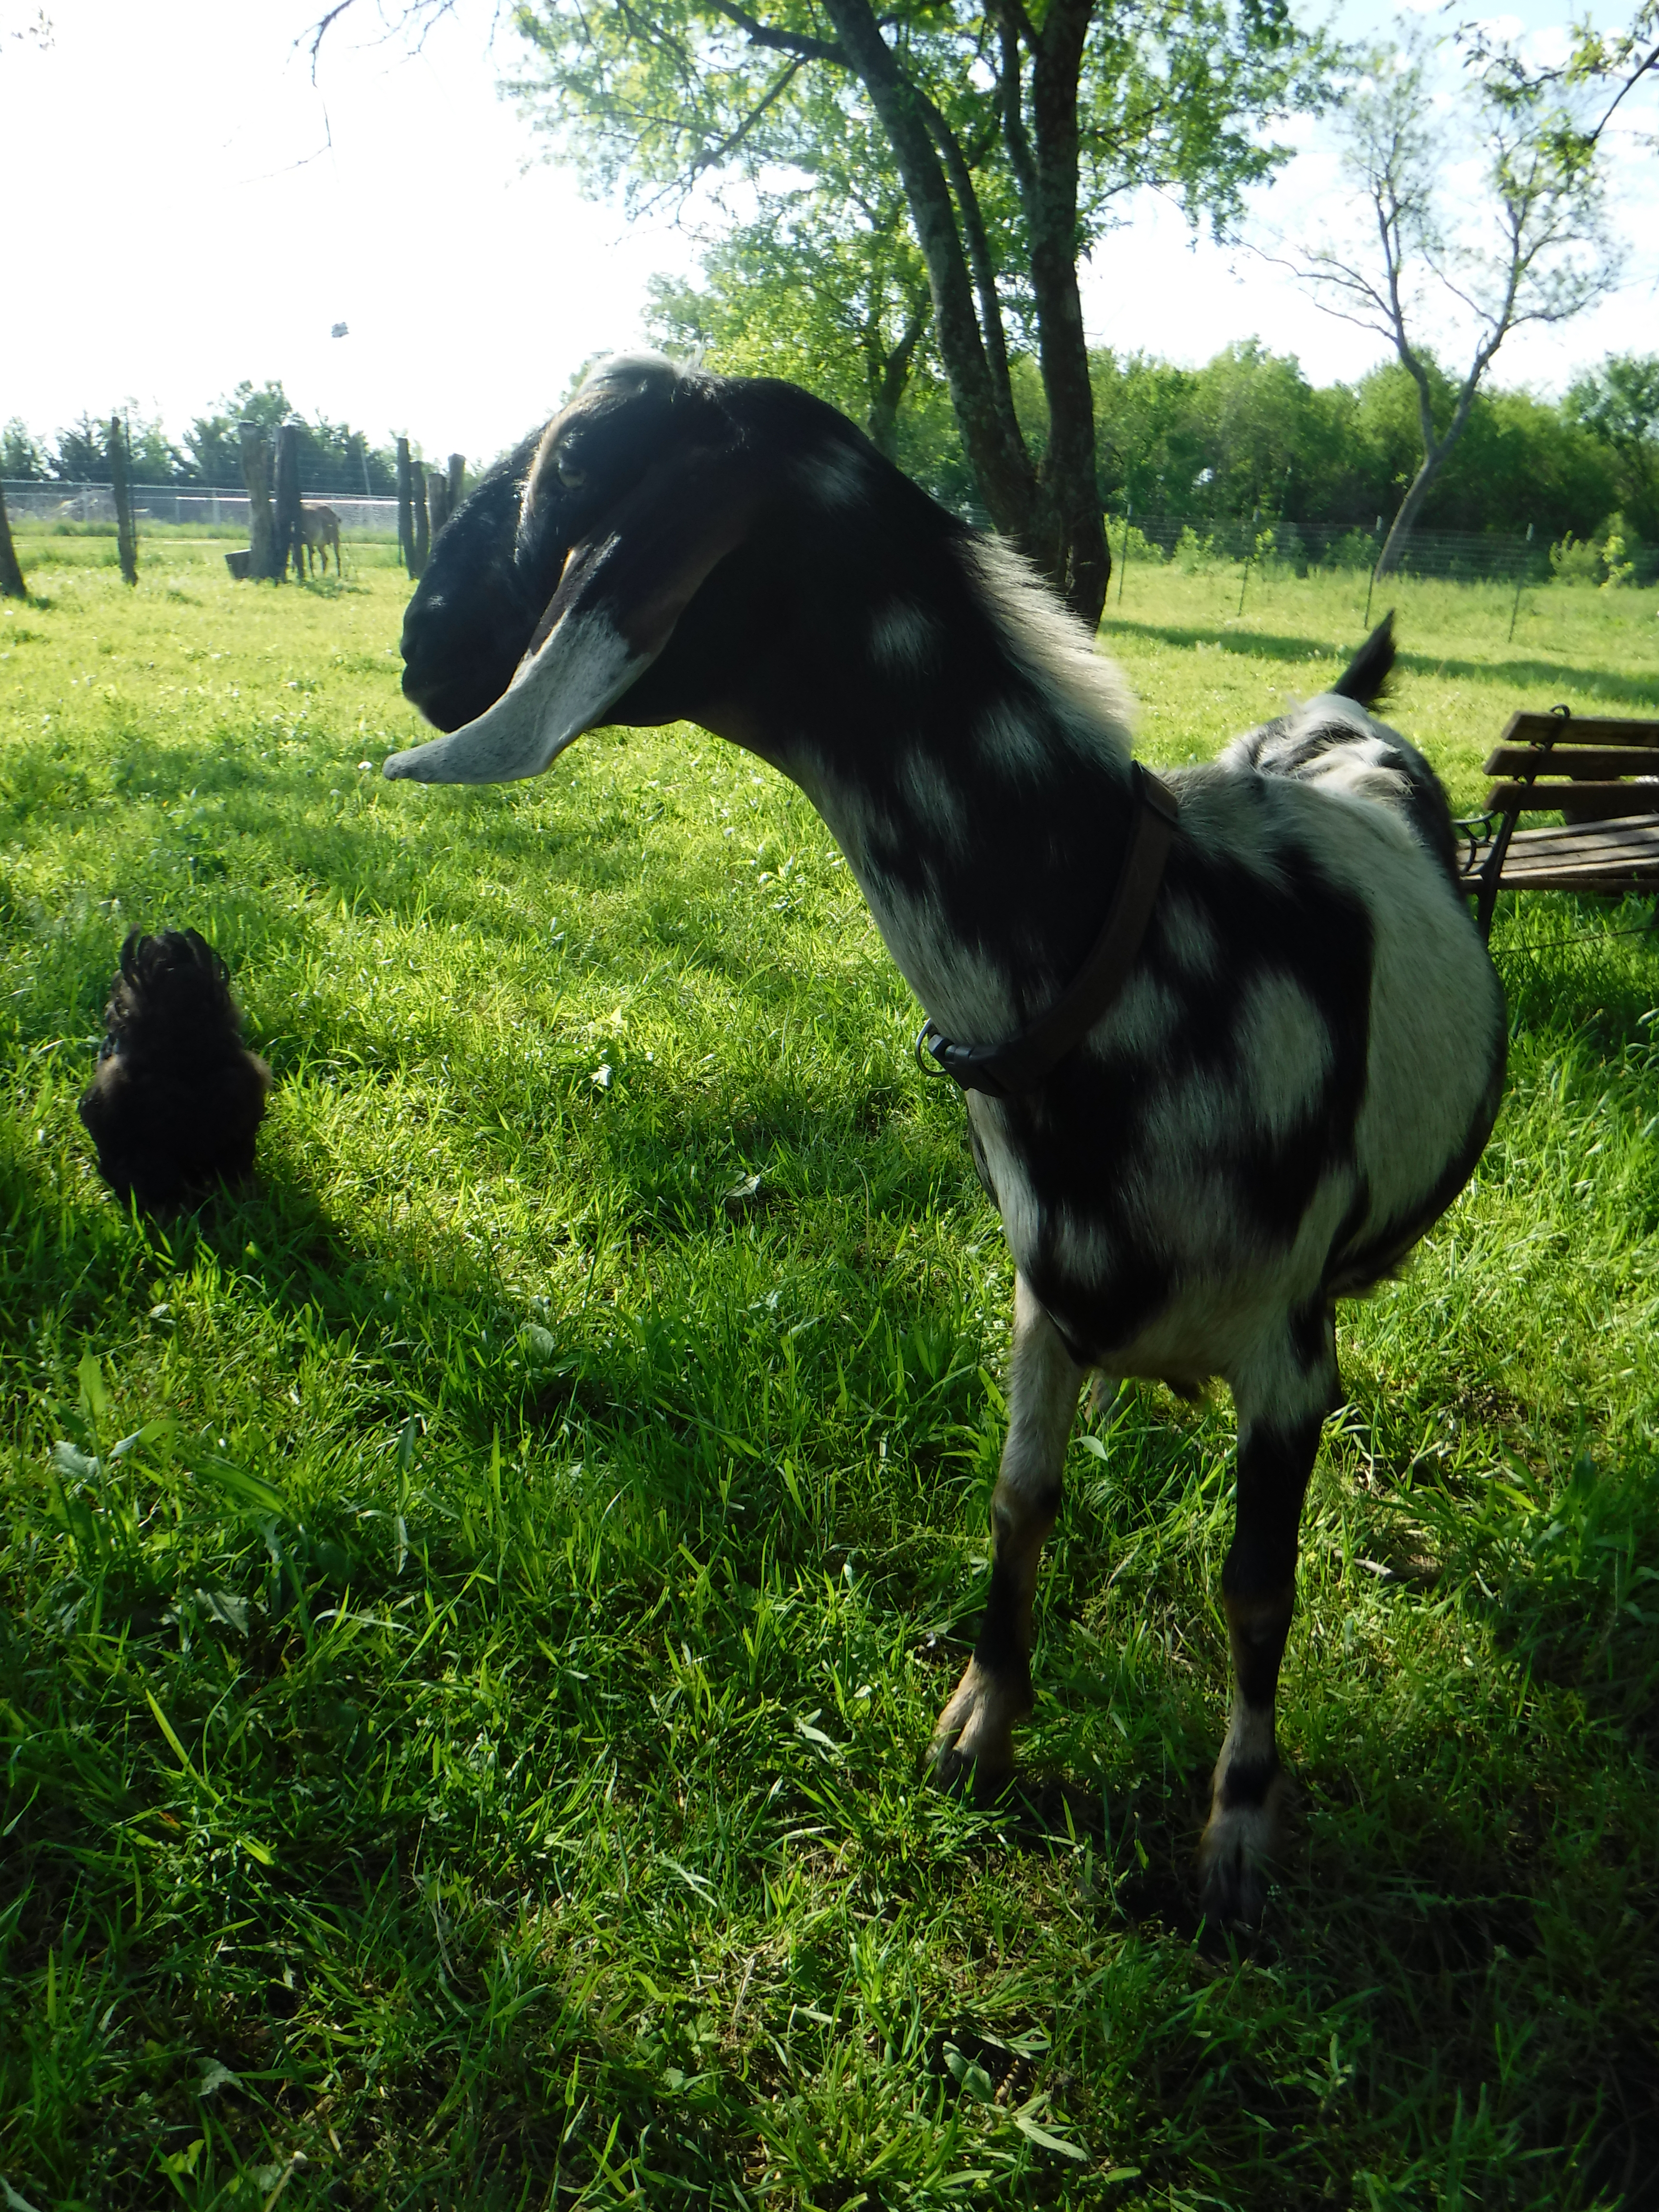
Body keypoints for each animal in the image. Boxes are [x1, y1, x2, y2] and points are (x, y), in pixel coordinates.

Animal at [389, 354, 1504, 1911]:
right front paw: (979, 1723)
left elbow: (1254, 1588)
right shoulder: (1041, 1297)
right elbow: (1020, 1494)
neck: (1138, 955)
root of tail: (1343, 702)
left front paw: (1237, 1830)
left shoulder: (1286, 1359)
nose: (420, 649)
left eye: (579, 474)